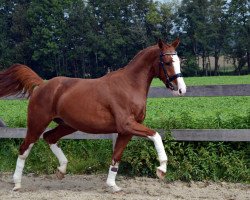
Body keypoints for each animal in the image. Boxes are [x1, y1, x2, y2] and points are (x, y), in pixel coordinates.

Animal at [0, 38, 186, 192]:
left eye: (179, 62)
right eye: (167, 62)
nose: (181, 90)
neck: (129, 86)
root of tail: (42, 84)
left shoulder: (125, 131)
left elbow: (116, 156)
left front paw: (112, 185)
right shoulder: (127, 125)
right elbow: (156, 135)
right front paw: (162, 169)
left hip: (68, 125)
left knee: (49, 137)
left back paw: (62, 169)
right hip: (37, 123)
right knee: (24, 148)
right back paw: (17, 184)